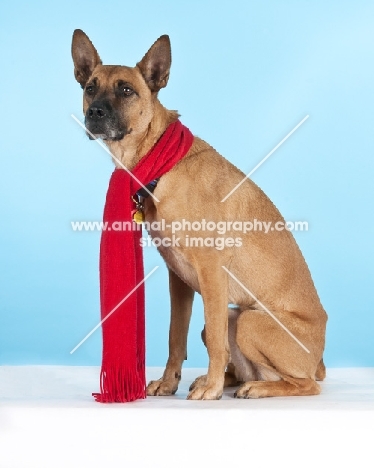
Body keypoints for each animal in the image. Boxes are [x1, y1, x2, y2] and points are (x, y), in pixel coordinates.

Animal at [71, 31, 326, 400]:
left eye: (126, 90)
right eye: (90, 87)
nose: (94, 112)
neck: (160, 160)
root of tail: (319, 359)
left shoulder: (210, 272)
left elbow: (217, 342)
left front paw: (212, 390)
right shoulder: (178, 278)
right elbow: (176, 337)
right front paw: (170, 382)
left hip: (251, 321)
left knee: (303, 384)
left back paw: (253, 387)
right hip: (236, 317)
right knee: (240, 360)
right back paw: (231, 379)